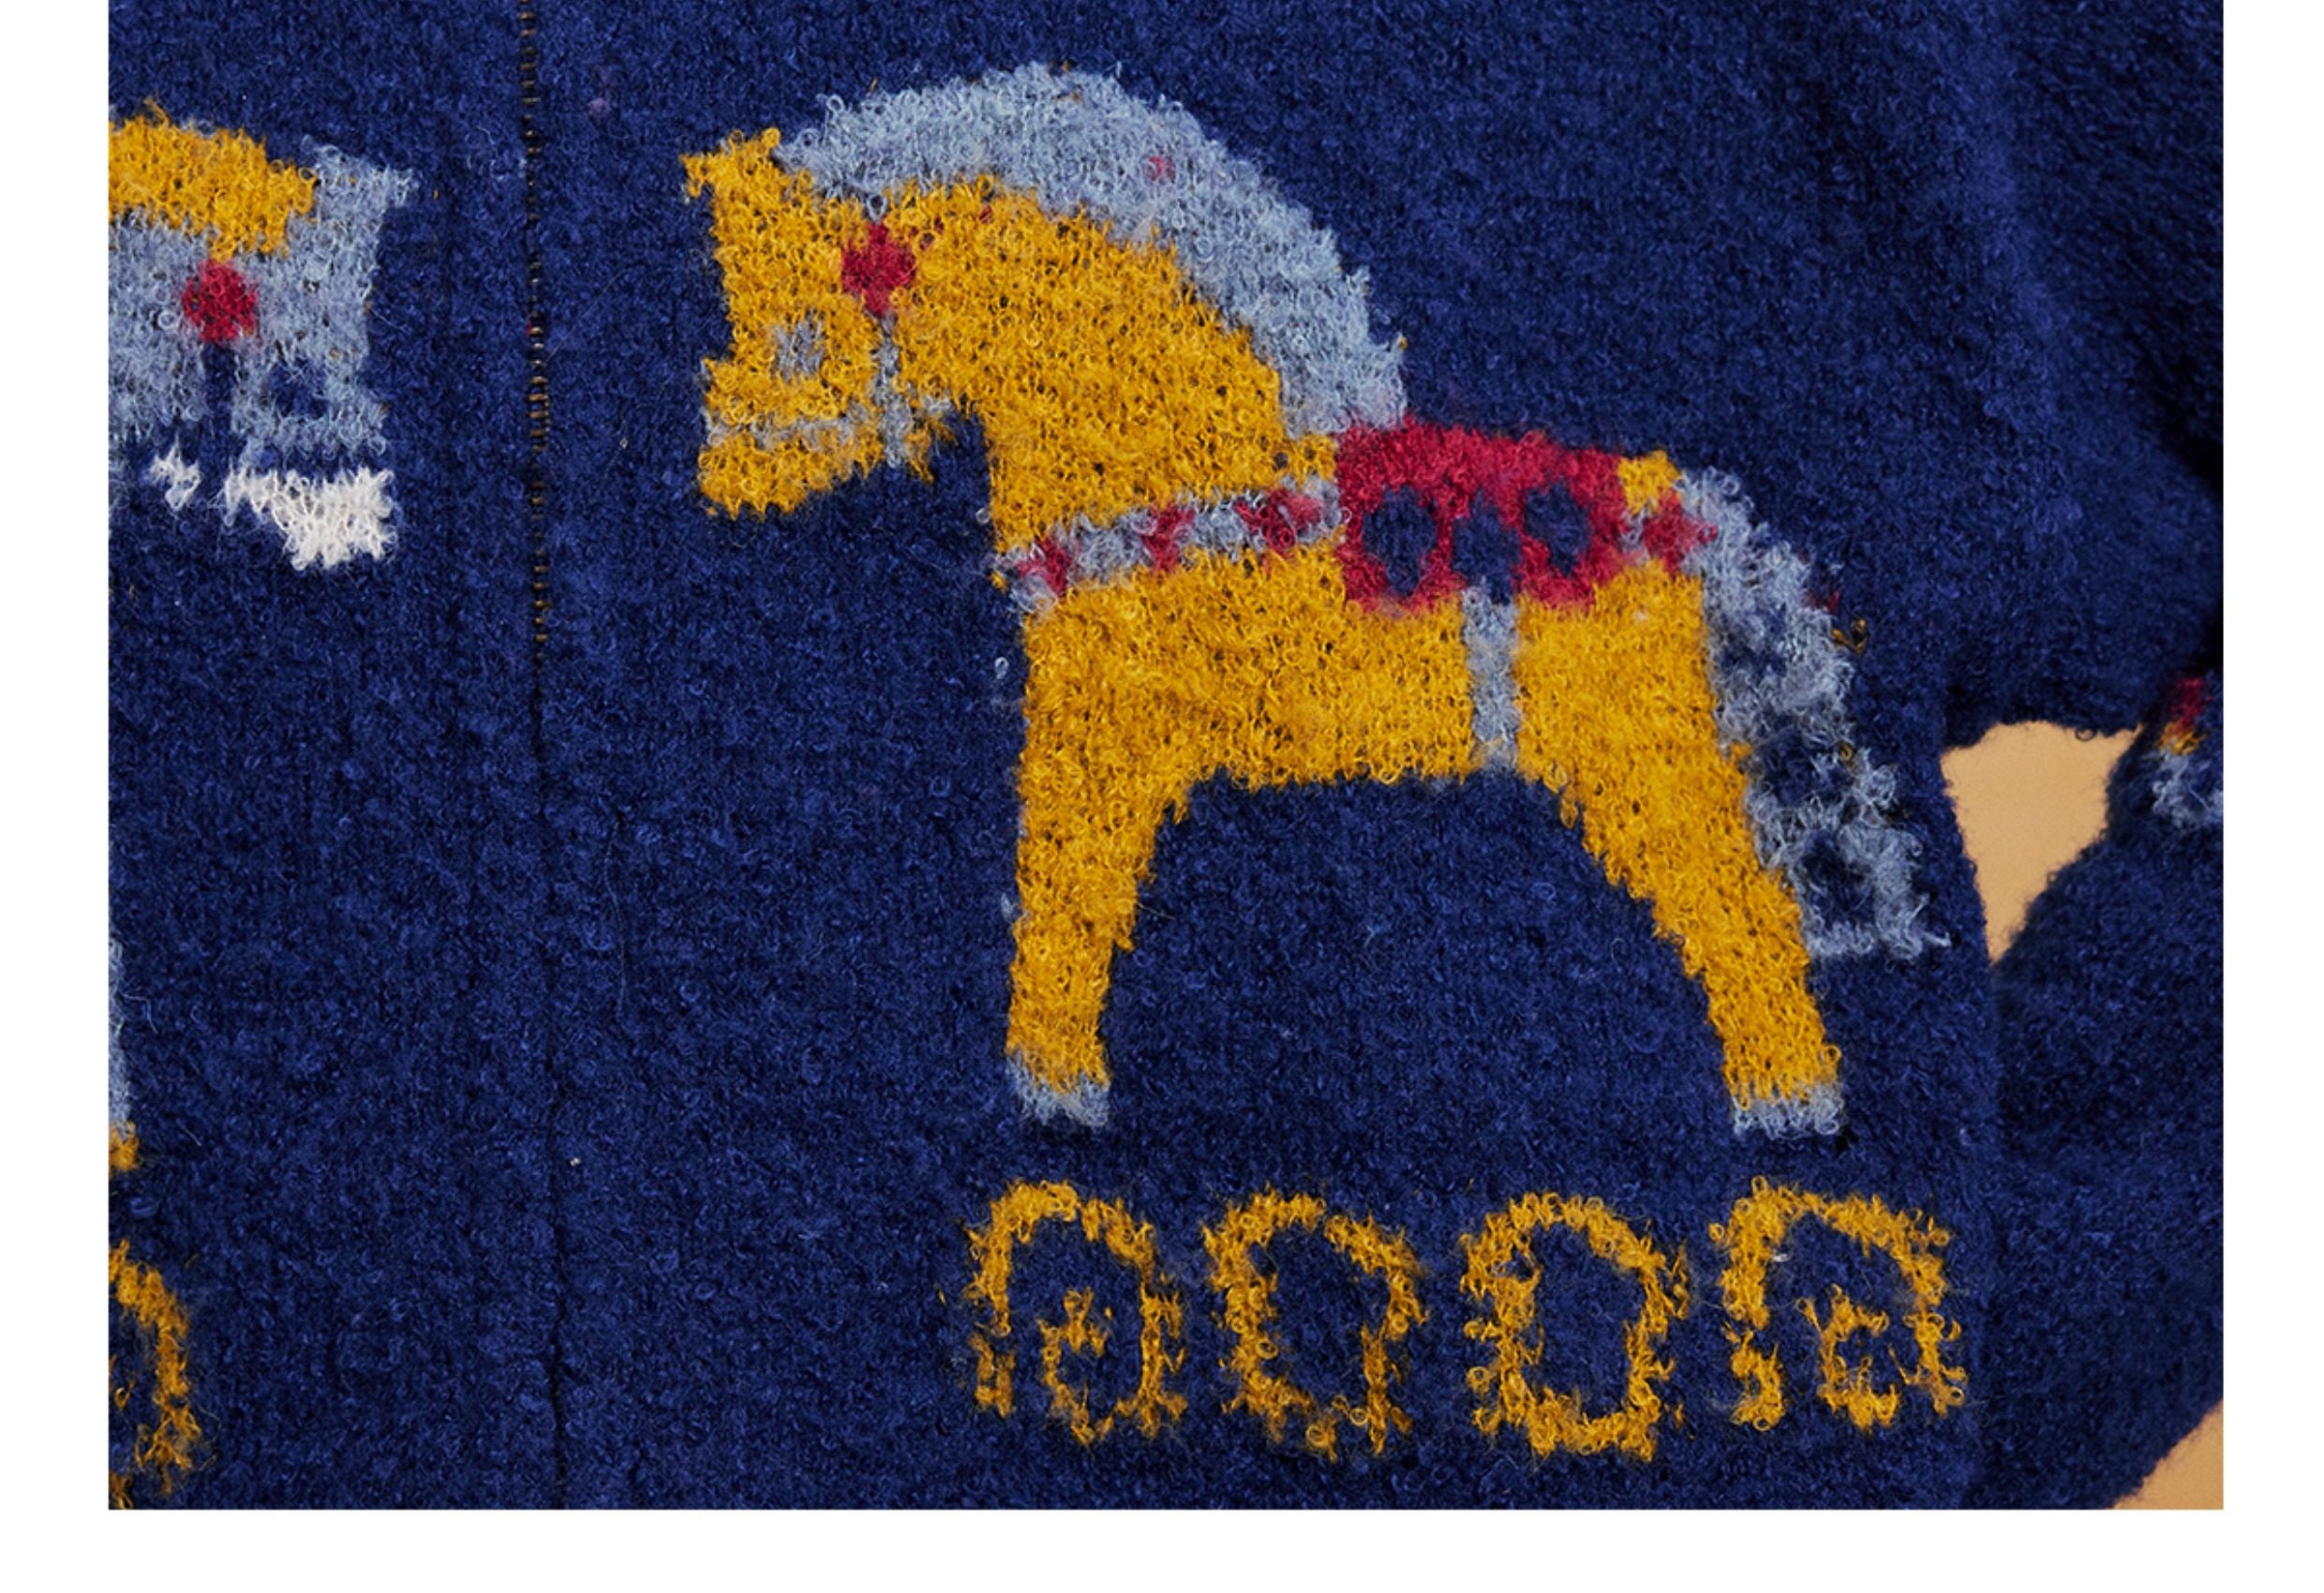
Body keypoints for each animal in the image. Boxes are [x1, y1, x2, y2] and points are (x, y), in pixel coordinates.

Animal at [684, 67, 1939, 1135]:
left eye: (793, 329)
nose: (724, 475)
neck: (1172, 464)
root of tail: (1699, 523)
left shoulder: (1107, 738)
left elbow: (1065, 904)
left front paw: (1054, 1084)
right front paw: (1056, 1083)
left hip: (1649, 764)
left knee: (1745, 915)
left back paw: (1784, 1104)